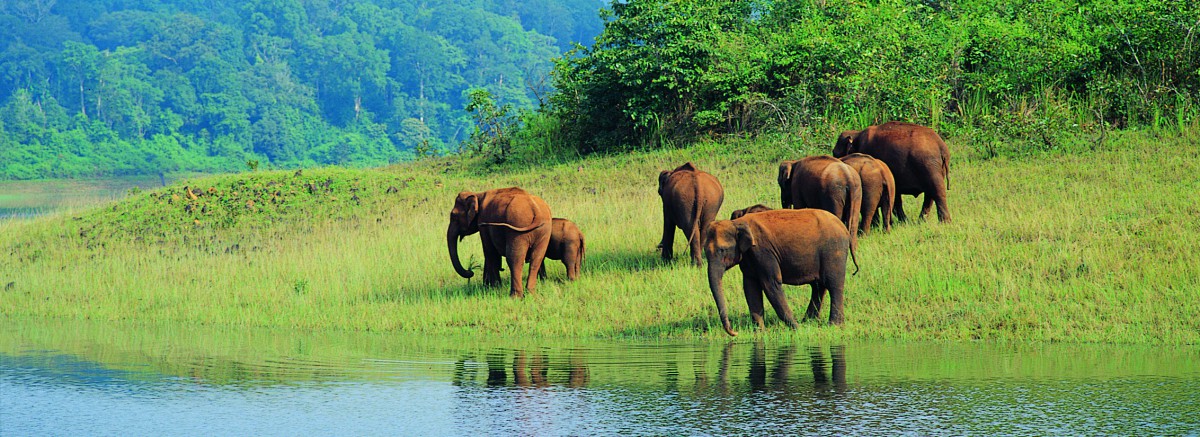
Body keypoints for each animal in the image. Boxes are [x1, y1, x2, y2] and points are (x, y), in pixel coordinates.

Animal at [700, 207, 864, 333]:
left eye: (722, 250)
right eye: (706, 252)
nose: (734, 332)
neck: (736, 223)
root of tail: (845, 229)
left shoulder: (762, 251)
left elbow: (771, 283)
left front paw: (796, 329)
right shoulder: (749, 257)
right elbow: (750, 287)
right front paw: (760, 332)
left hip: (834, 251)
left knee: (833, 285)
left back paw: (833, 325)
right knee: (818, 286)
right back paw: (808, 321)